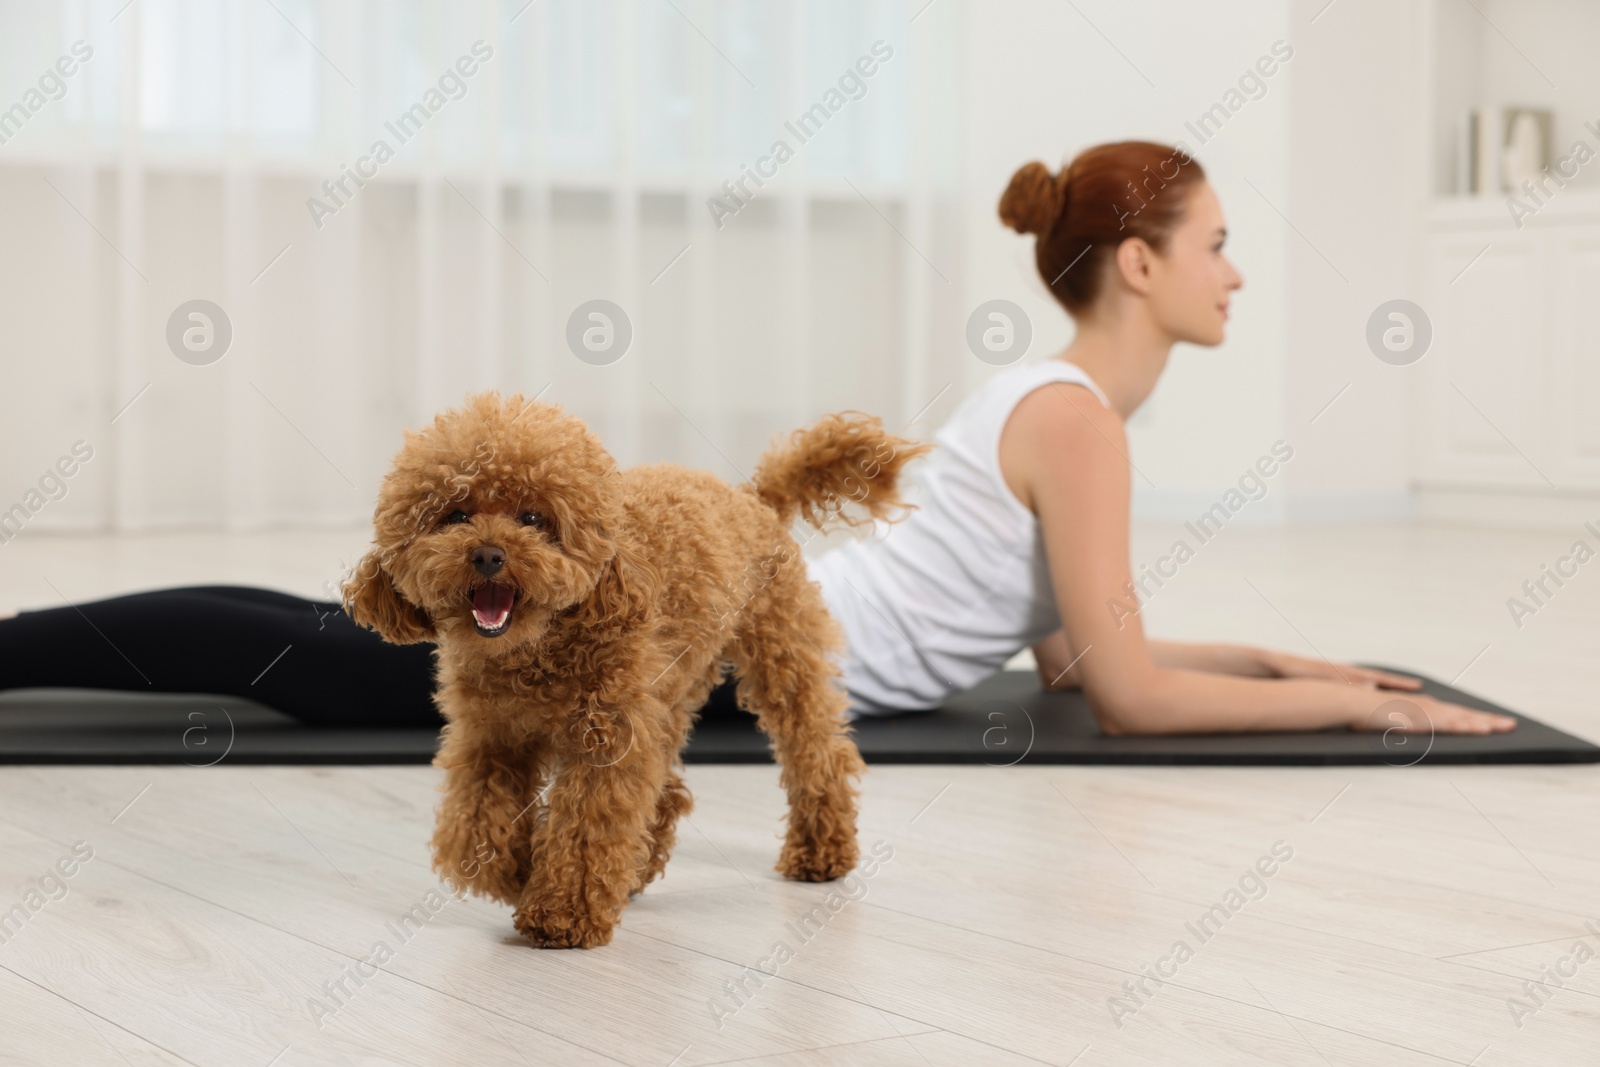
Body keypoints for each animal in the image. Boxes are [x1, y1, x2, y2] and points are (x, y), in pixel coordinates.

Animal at [344, 390, 934, 940]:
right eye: (456, 515)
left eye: (533, 518)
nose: (488, 554)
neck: (537, 649)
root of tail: (753, 498)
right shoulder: (491, 737)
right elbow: (477, 830)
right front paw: (519, 873)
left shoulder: (607, 736)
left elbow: (588, 823)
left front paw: (561, 912)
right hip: (671, 687)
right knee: (664, 790)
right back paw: (638, 867)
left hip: (779, 655)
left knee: (814, 750)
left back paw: (820, 853)